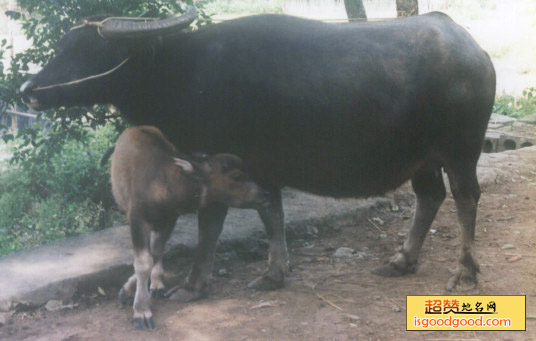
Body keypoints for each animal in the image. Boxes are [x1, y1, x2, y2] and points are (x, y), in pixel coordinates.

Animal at [22, 7, 498, 300]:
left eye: (91, 52)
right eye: (62, 46)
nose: (29, 89)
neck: (182, 73)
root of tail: (473, 48)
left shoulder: (216, 165)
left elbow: (210, 225)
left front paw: (194, 284)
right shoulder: (260, 169)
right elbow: (272, 215)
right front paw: (275, 272)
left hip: (460, 149)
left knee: (466, 198)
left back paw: (465, 271)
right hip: (421, 156)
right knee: (429, 196)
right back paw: (401, 260)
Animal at [110, 126, 268, 328]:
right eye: (237, 176)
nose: (265, 194)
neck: (162, 183)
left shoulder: (169, 219)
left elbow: (155, 253)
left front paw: (131, 290)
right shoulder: (137, 219)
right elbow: (143, 262)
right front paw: (141, 311)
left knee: (157, 249)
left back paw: (157, 283)